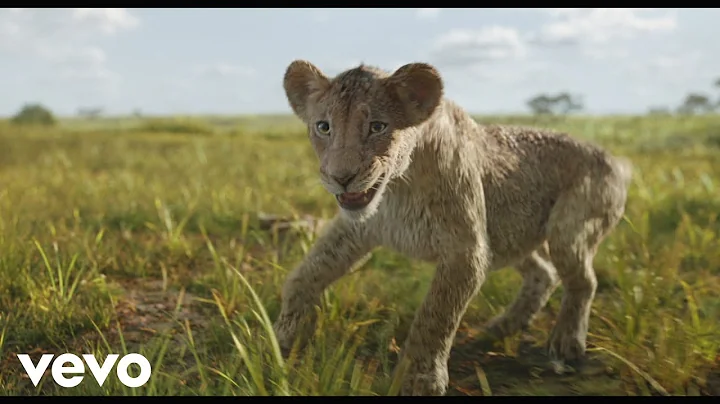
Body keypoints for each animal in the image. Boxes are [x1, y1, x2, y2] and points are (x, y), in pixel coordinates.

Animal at [272, 60, 633, 396]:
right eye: (324, 127)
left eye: (377, 126)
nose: (341, 177)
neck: (396, 188)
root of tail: (615, 160)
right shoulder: (354, 229)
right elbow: (303, 276)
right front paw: (279, 341)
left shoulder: (466, 250)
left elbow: (435, 316)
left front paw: (419, 379)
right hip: (509, 235)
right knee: (544, 273)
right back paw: (497, 329)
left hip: (567, 229)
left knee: (582, 280)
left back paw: (565, 342)